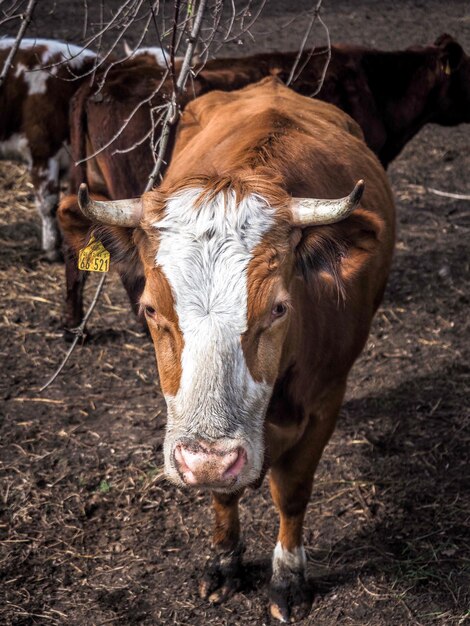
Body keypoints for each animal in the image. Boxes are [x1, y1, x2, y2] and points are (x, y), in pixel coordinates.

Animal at [72, 78, 396, 620]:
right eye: (150, 309)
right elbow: (223, 498)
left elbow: (292, 493)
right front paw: (224, 563)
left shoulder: (325, 400)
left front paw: (288, 580)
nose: (208, 460)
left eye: (280, 309)